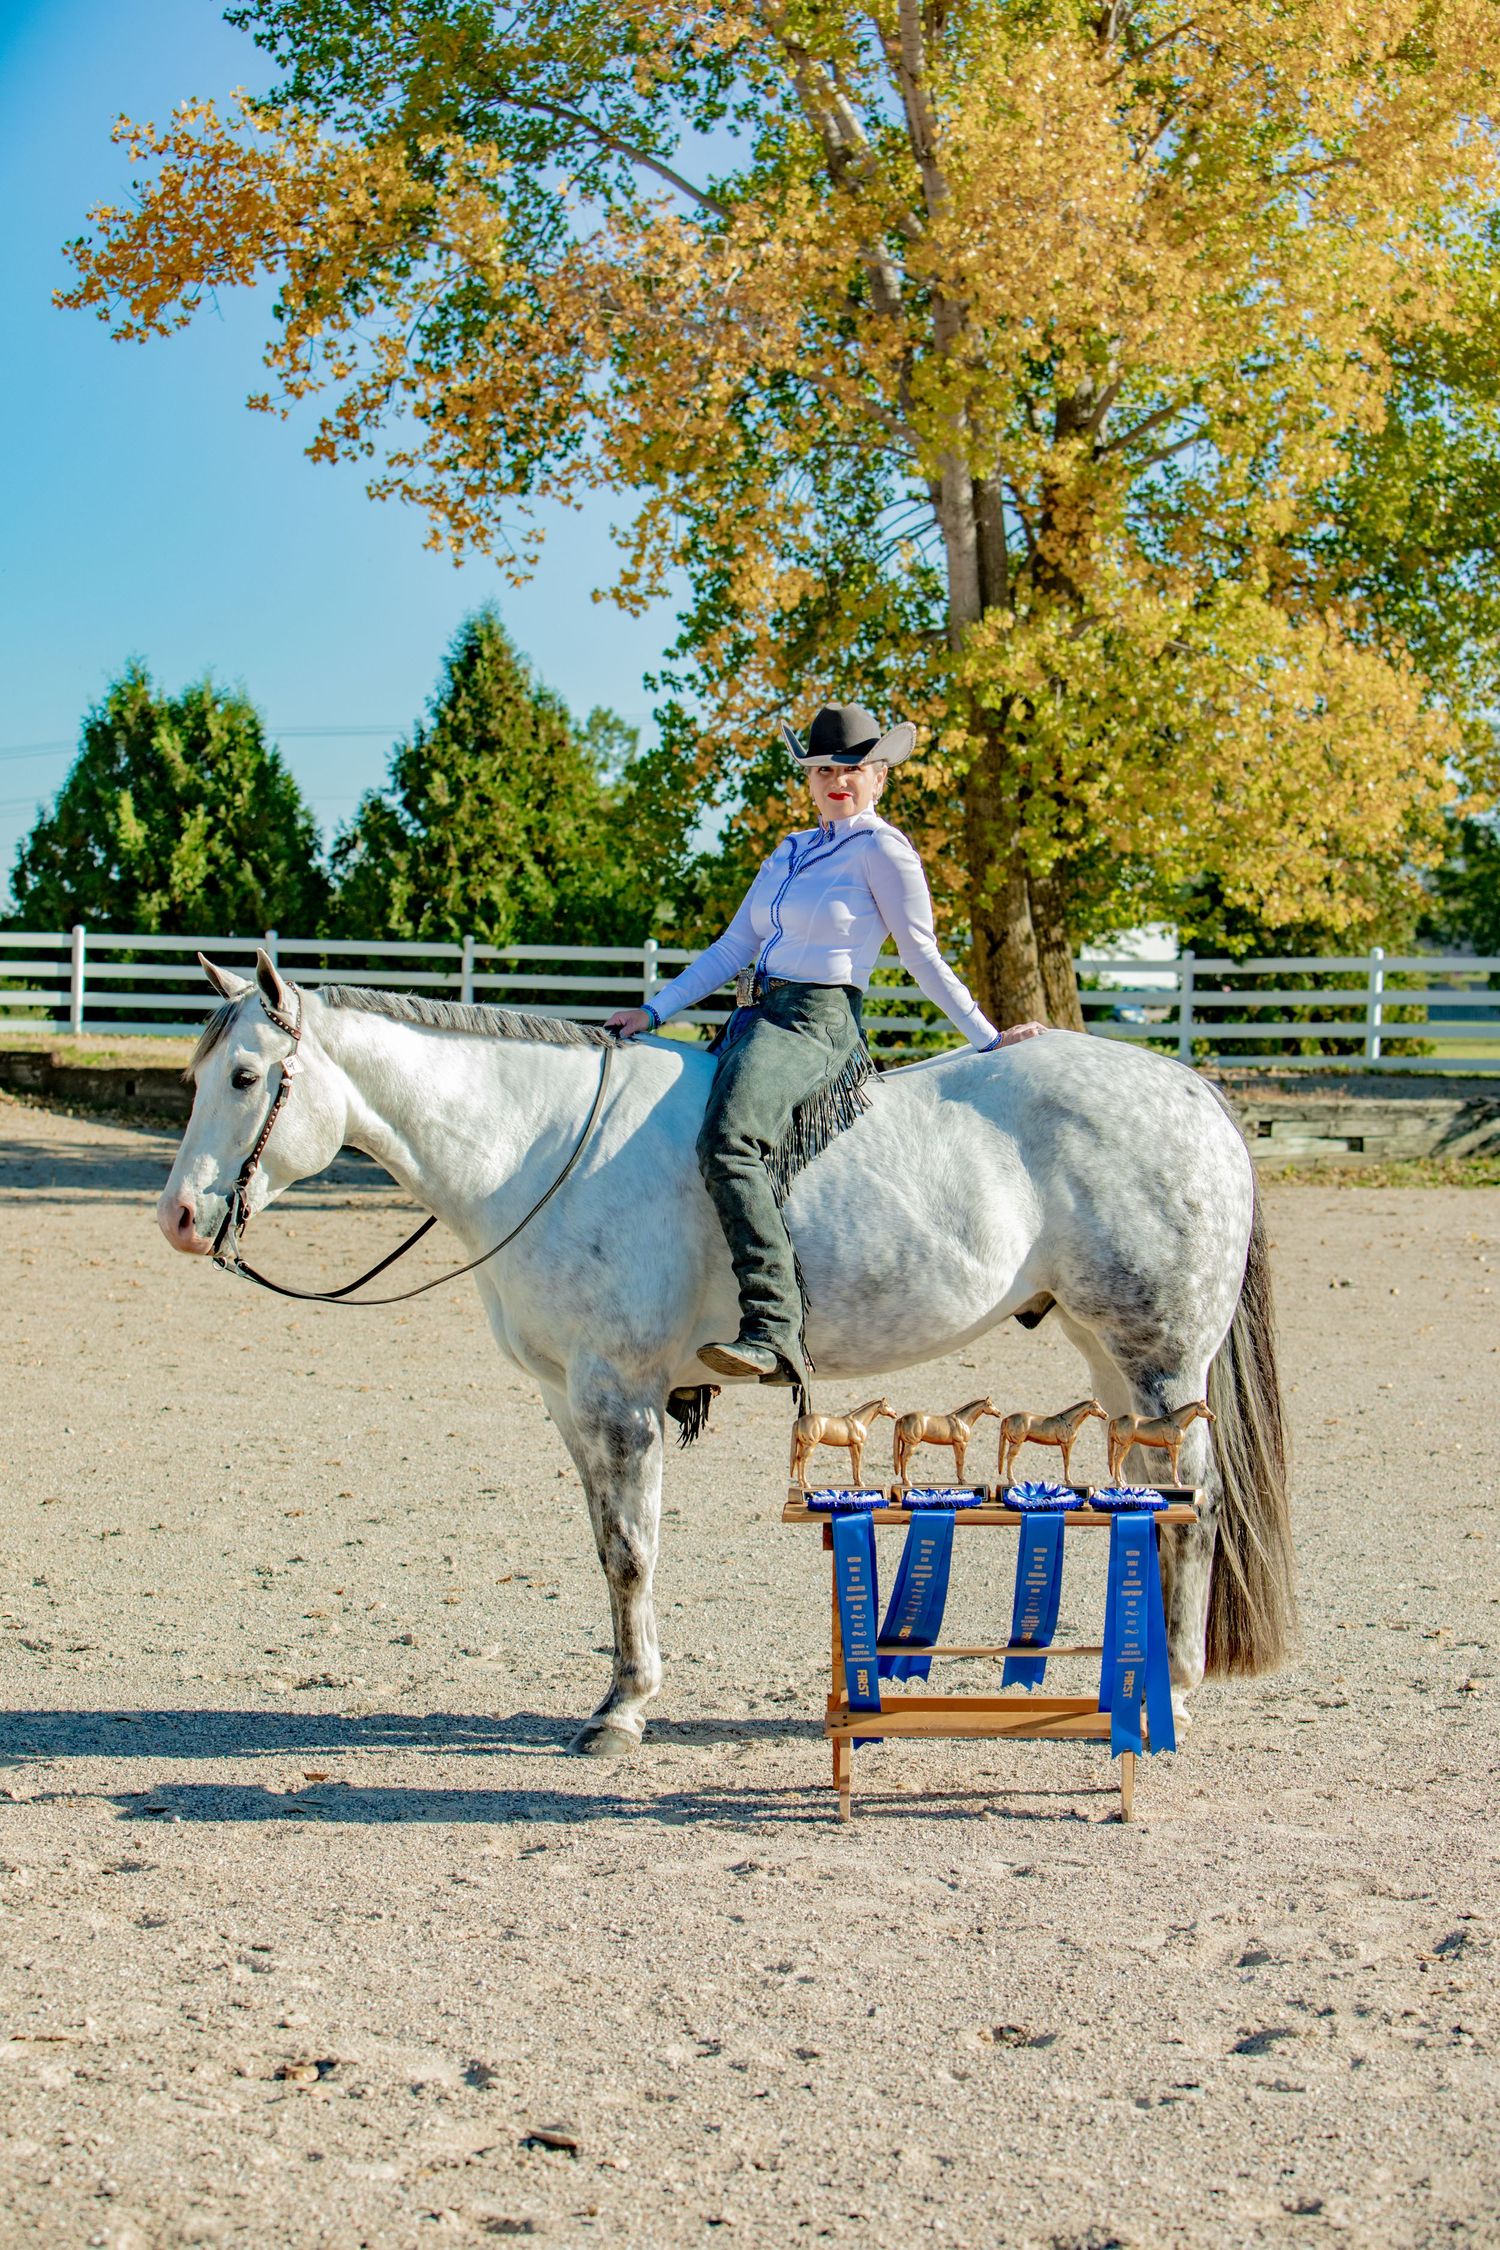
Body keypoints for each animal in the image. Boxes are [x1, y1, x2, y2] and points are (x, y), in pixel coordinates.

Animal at [157, 952, 1294, 1755]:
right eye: (196, 1074)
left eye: (249, 1076)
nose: (178, 1218)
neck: (542, 1145)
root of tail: (1191, 1091)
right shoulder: (569, 1404)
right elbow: (607, 1550)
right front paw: (625, 1691)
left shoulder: (618, 1397)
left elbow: (631, 1551)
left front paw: (621, 1712)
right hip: (1111, 1357)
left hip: (1161, 1361)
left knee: (1195, 1505)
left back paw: (1172, 1692)